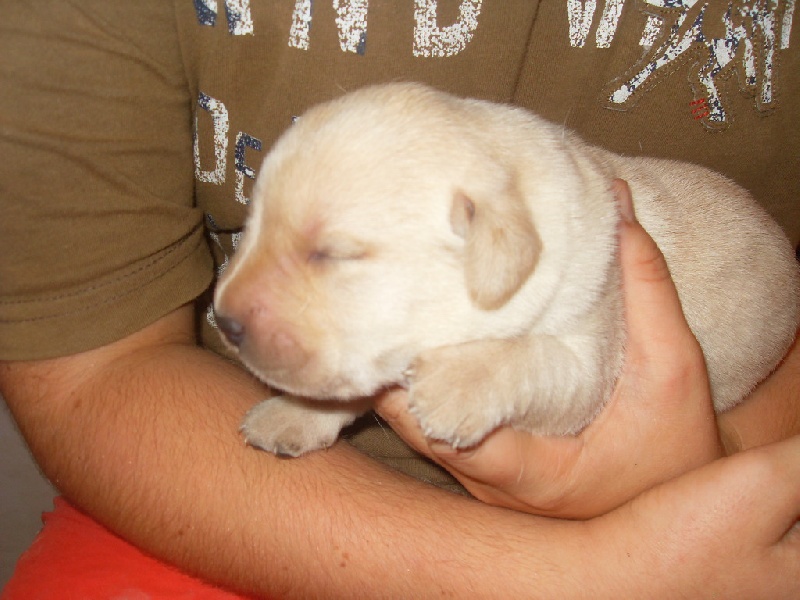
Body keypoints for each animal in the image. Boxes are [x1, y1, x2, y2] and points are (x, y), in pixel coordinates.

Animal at [214, 83, 800, 454]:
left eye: (333, 254)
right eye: (253, 226)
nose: (222, 321)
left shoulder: (590, 351)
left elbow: (532, 356)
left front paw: (456, 385)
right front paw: (291, 414)